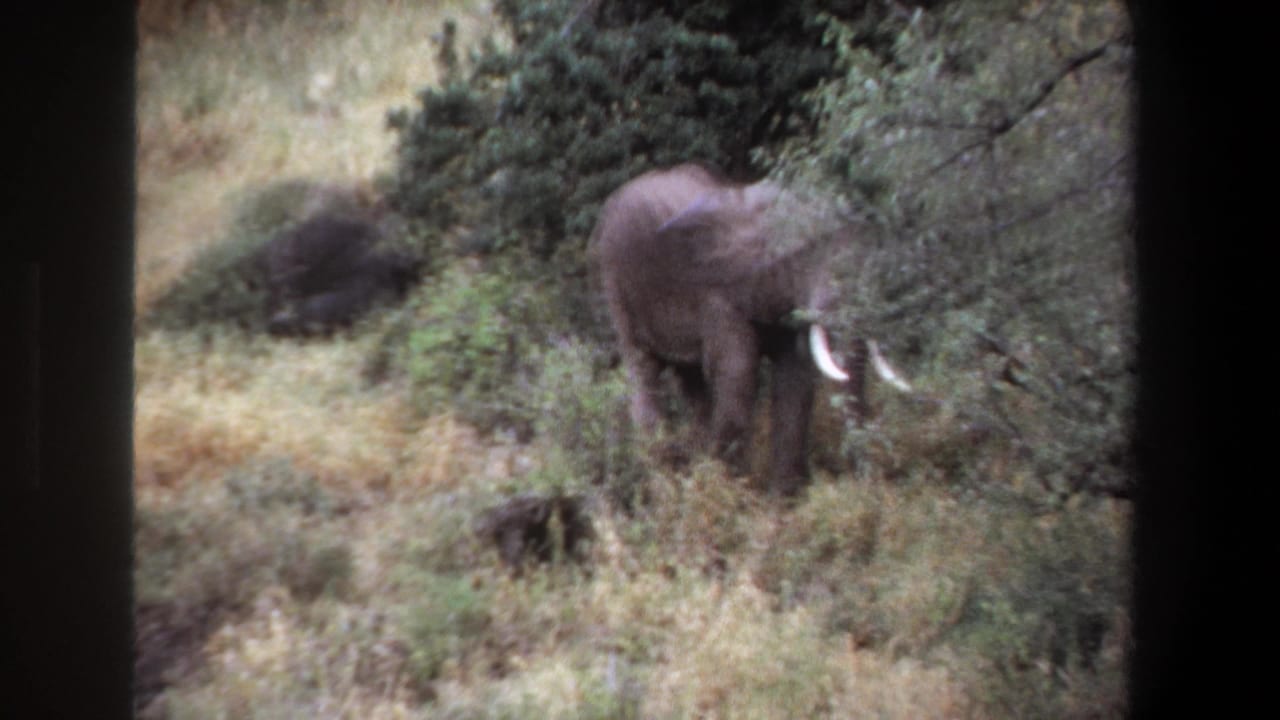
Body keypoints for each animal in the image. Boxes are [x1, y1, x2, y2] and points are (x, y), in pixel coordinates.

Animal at [590, 163, 908, 496]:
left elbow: (795, 377)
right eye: (805, 254)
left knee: (691, 381)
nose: (867, 480)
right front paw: (730, 490)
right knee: (643, 368)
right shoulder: (718, 295)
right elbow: (738, 372)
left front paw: (782, 500)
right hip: (616, 281)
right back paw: (661, 474)